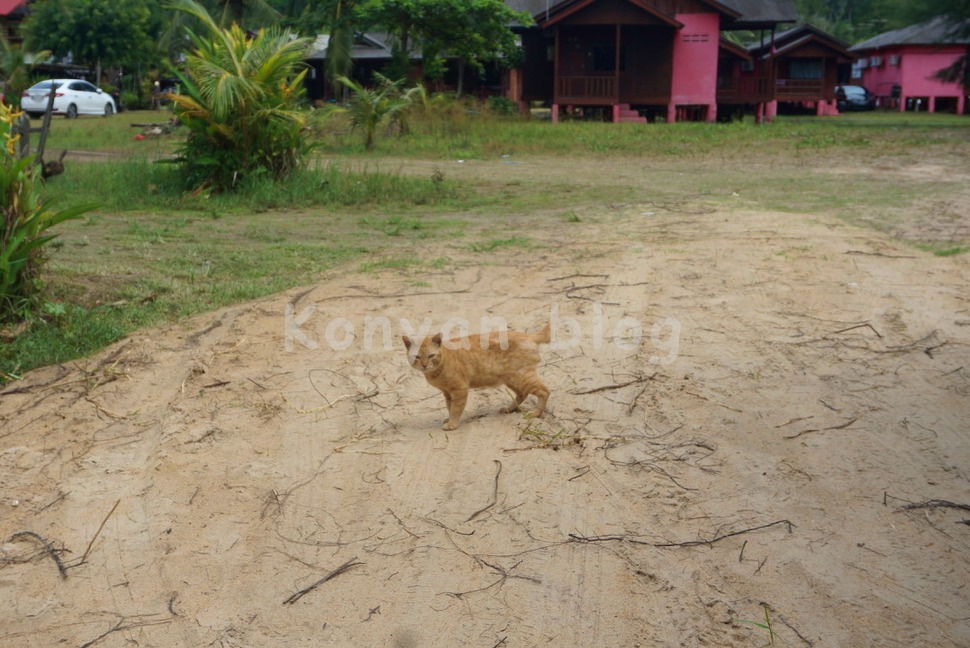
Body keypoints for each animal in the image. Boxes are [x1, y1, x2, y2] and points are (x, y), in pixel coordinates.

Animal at [402, 324, 552, 430]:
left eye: (431, 356)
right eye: (417, 357)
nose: (424, 365)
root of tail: (529, 336)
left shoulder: (459, 390)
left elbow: (456, 409)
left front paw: (452, 424)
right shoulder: (447, 393)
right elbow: (450, 407)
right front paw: (449, 419)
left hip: (522, 378)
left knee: (545, 391)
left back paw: (536, 413)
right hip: (512, 379)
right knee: (523, 394)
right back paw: (509, 409)